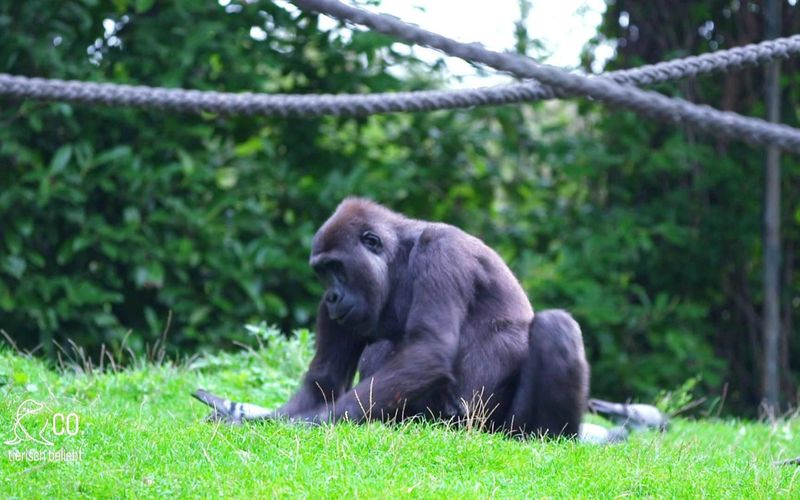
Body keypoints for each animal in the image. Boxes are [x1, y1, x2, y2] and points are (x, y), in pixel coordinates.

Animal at [192, 199, 588, 438]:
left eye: (336, 268)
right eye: (322, 273)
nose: (332, 296)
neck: (400, 256)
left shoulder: (444, 251)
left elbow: (428, 349)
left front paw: (307, 423)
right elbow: (322, 382)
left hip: (497, 429)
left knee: (556, 327)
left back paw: (548, 436)